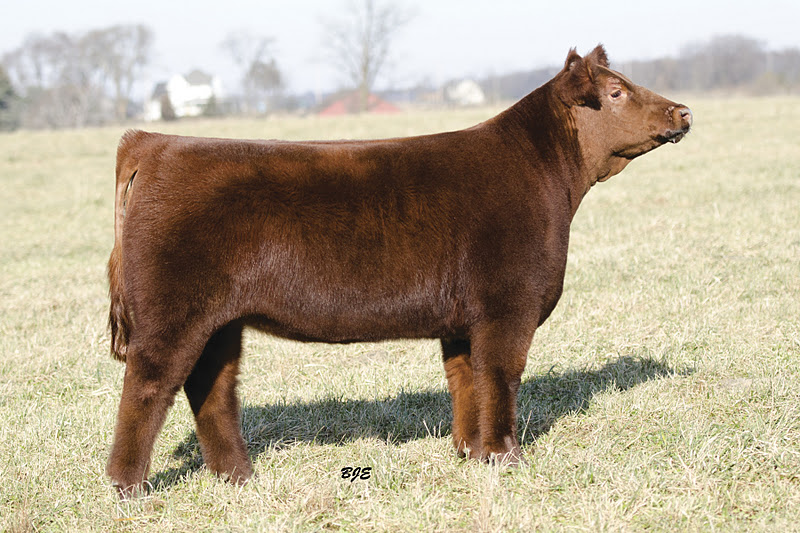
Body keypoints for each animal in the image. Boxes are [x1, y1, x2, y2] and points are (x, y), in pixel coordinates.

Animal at [105, 45, 692, 497]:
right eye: (615, 93)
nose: (682, 112)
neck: (548, 180)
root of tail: (155, 143)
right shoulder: (508, 307)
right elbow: (501, 376)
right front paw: (506, 457)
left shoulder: (462, 321)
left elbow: (466, 381)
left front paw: (469, 452)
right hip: (173, 312)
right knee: (148, 385)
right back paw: (128, 487)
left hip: (220, 321)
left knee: (212, 387)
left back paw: (239, 477)